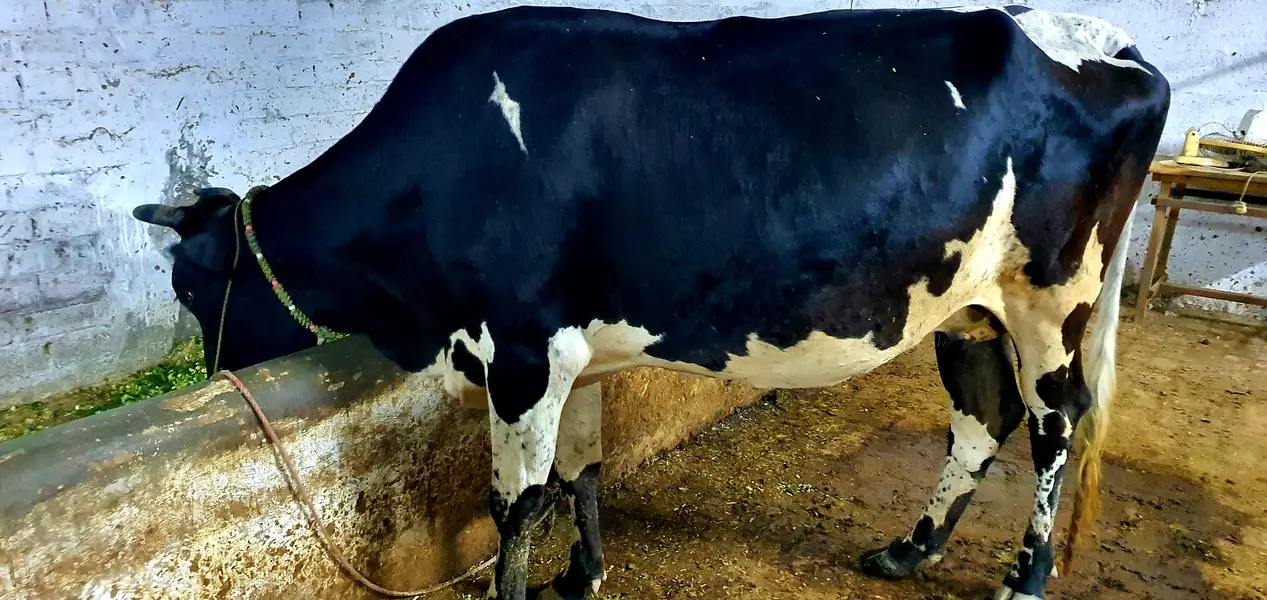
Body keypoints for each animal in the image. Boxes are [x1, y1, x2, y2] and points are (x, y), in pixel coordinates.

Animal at [132, 5, 1170, 599]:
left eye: (187, 283)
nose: (215, 375)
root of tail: (1109, 40)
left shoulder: (522, 352)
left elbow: (515, 503)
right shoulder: (576, 354)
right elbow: (581, 472)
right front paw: (583, 577)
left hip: (1053, 298)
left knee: (1055, 423)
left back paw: (1024, 578)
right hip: (965, 305)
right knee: (983, 415)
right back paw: (907, 552)